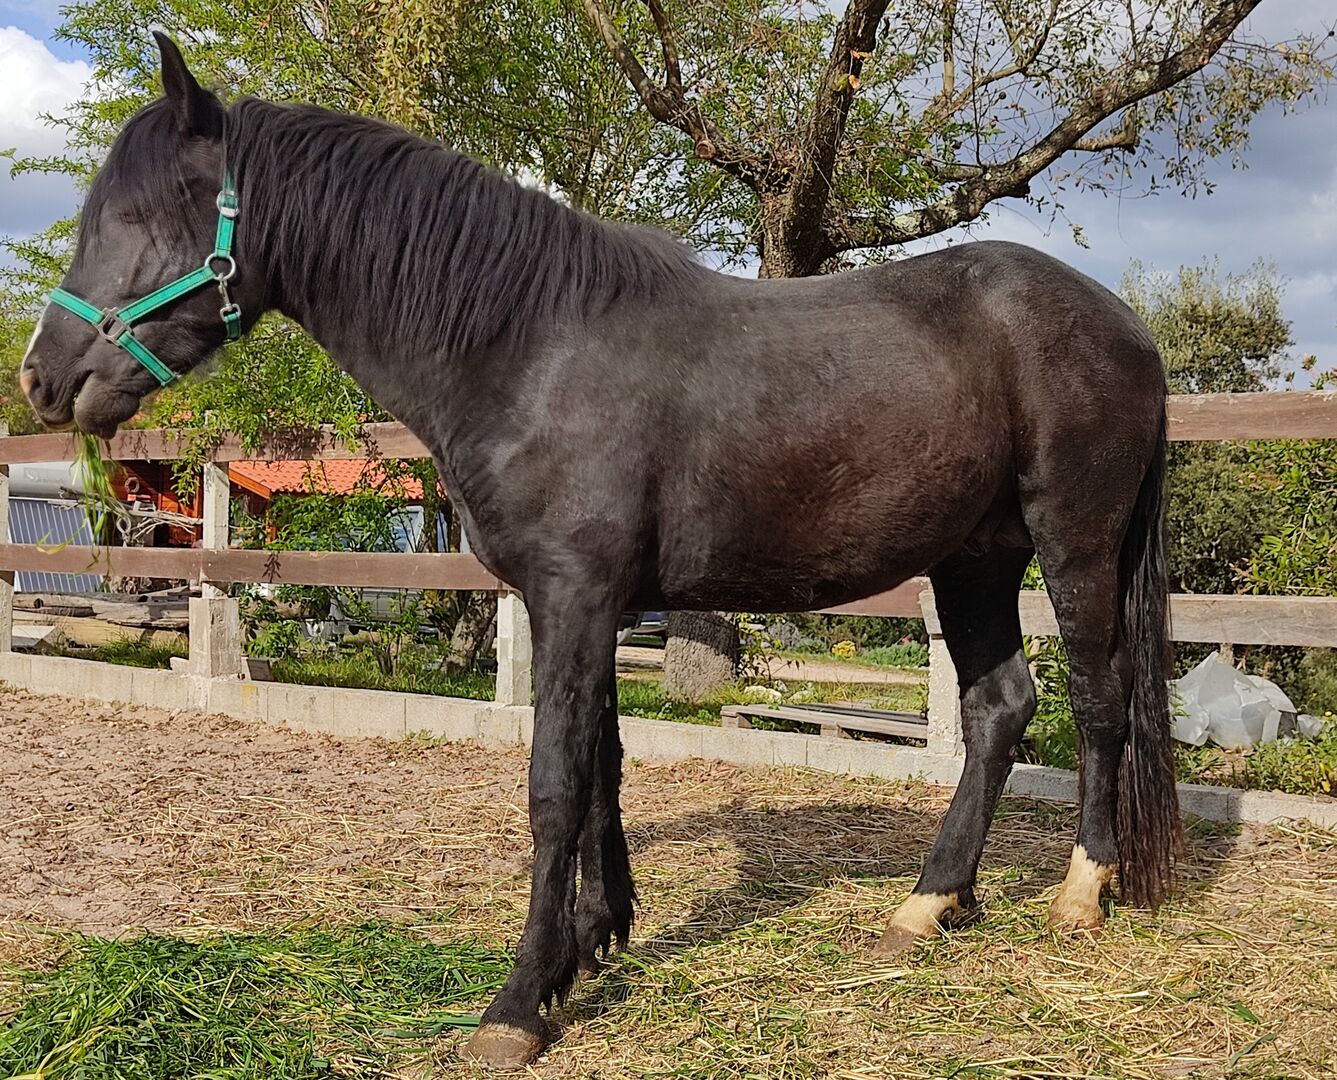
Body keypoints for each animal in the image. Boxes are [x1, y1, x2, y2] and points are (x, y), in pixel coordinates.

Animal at [22, 34, 1181, 1069]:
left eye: (131, 218)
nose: (41, 377)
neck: (529, 342)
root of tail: (1123, 323)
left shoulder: (574, 593)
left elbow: (553, 781)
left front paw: (518, 1002)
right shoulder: (586, 599)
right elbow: (603, 766)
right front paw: (595, 937)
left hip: (1070, 543)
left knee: (1099, 698)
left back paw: (1081, 891)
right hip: (972, 558)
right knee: (998, 709)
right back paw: (931, 901)